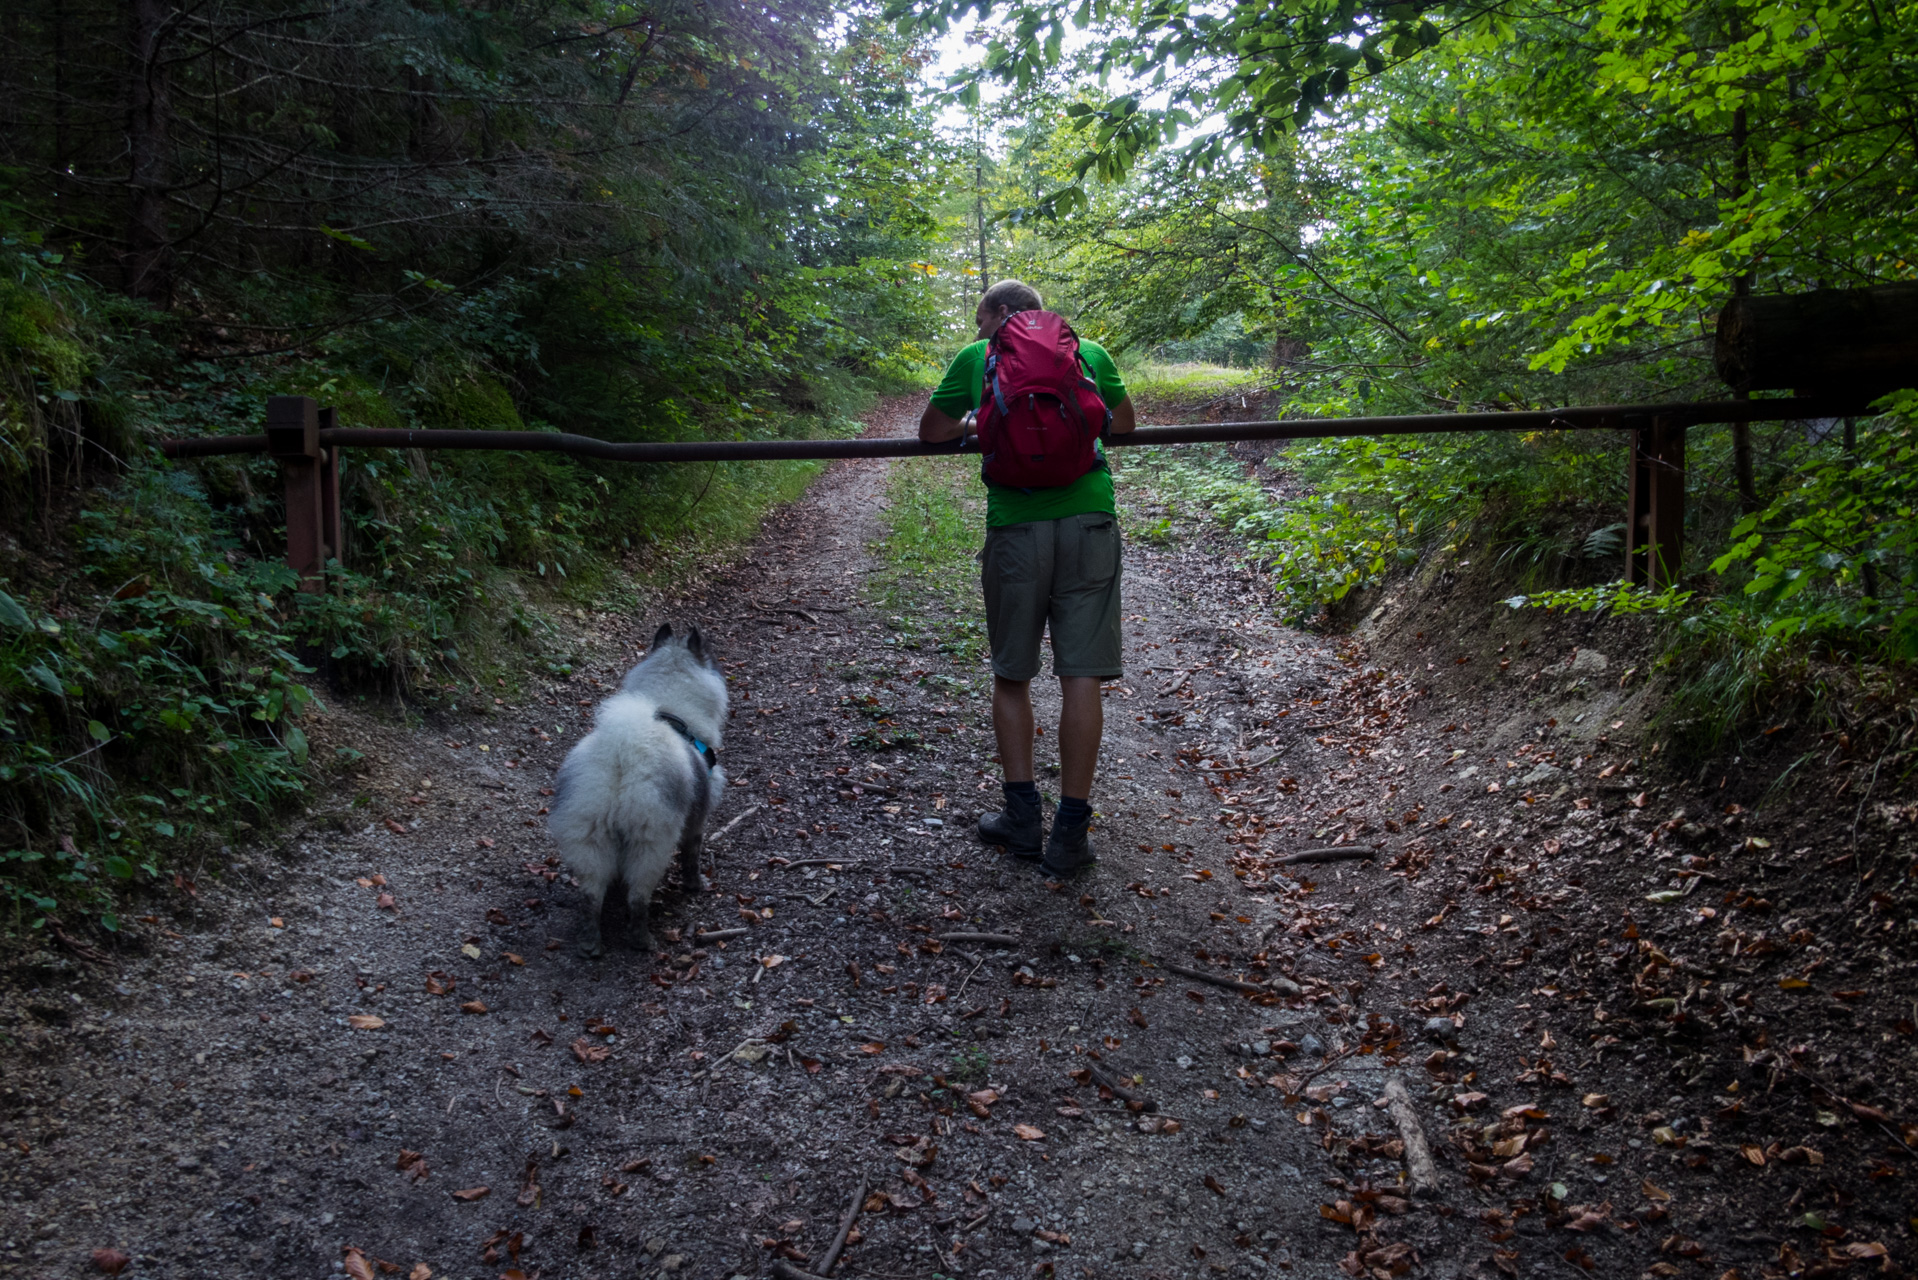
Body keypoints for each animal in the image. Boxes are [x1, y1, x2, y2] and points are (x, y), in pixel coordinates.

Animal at [548, 625, 725, 955]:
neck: (671, 710)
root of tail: (623, 756)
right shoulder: (697, 820)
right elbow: (691, 857)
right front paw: (696, 886)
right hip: (651, 842)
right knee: (638, 897)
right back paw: (642, 940)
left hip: (591, 838)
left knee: (591, 896)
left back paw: (590, 942)